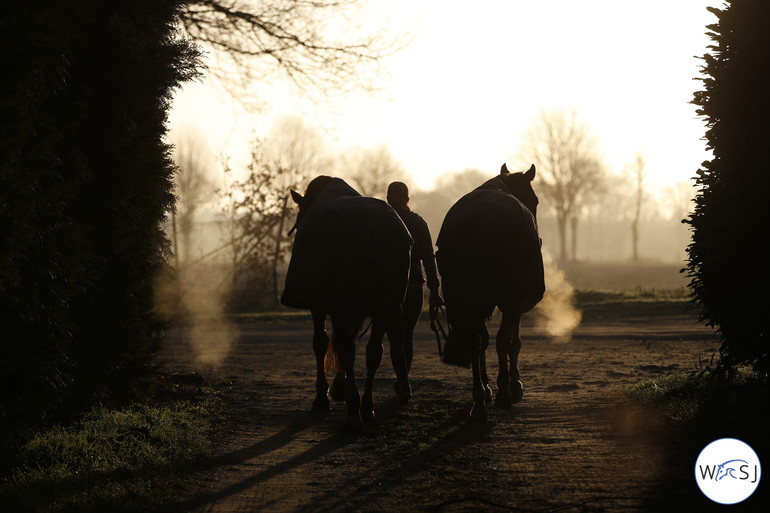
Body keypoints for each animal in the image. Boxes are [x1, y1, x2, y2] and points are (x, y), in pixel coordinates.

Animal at [282, 175, 414, 432]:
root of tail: (375, 232)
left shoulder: (323, 307)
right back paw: (366, 407)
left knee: (348, 350)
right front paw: (339, 387)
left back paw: (354, 412)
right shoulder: (352, 310)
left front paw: (323, 397)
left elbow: (322, 343)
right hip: (386, 308)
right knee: (373, 352)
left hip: (353, 307)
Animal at [436, 163, 544, 420]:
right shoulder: (516, 302)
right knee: (502, 340)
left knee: (475, 341)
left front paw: (485, 388)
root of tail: (476, 222)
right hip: (509, 298)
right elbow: (512, 341)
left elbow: (483, 340)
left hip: (463, 301)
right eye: (535, 200)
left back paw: (478, 401)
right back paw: (503, 392)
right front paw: (513, 385)